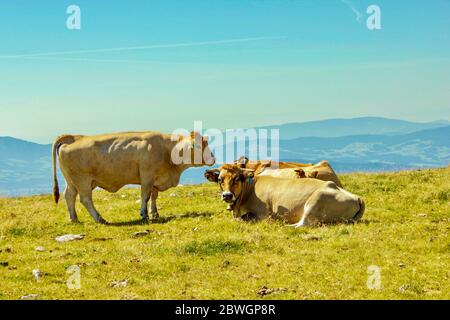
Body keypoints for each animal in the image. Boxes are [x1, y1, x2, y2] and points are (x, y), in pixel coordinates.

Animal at [52, 131, 214, 224]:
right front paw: (144, 214)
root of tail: (75, 137)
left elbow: (154, 196)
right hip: (82, 180)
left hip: (72, 181)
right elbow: (145, 195)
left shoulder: (156, 178)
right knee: (85, 199)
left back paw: (74, 219)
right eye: (198, 146)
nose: (213, 158)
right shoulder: (147, 175)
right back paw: (100, 219)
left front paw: (154, 213)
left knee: (69, 196)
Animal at [206, 165, 364, 228]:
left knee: (303, 224)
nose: (227, 195)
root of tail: (358, 197)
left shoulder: (262, 214)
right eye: (219, 180)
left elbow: (241, 219)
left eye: (237, 179)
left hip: (316, 201)